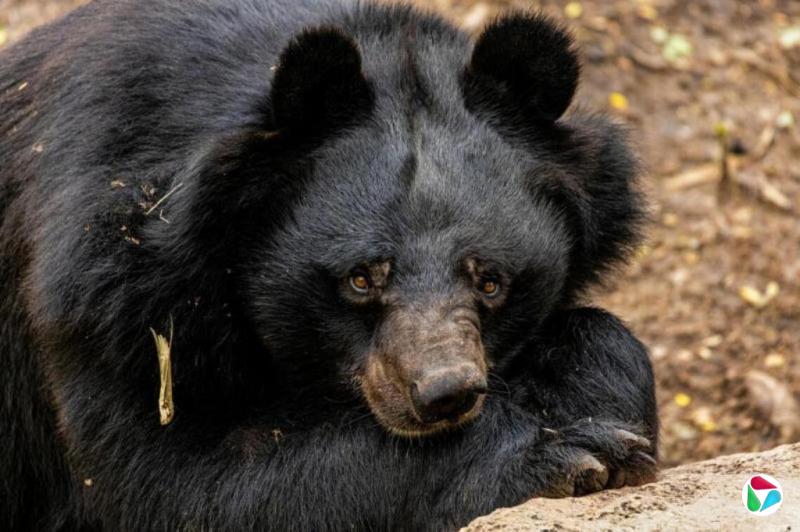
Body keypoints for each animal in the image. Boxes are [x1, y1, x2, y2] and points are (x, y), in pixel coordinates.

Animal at [0, 0, 658, 530]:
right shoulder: (108, 297)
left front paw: (606, 419)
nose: (445, 394)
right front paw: (569, 453)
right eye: (360, 278)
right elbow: (179, 489)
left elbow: (604, 339)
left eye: (491, 280)